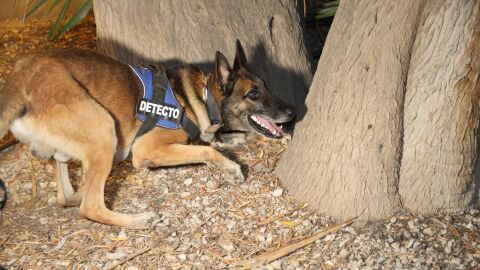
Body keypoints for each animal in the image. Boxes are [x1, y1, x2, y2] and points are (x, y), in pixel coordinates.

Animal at [0, 40, 296, 228]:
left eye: (266, 86)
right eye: (253, 94)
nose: (292, 112)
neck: (201, 96)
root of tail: (19, 79)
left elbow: (214, 140)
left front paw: (236, 140)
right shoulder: (146, 151)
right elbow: (204, 148)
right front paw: (230, 166)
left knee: (66, 194)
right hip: (104, 129)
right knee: (90, 206)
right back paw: (137, 220)